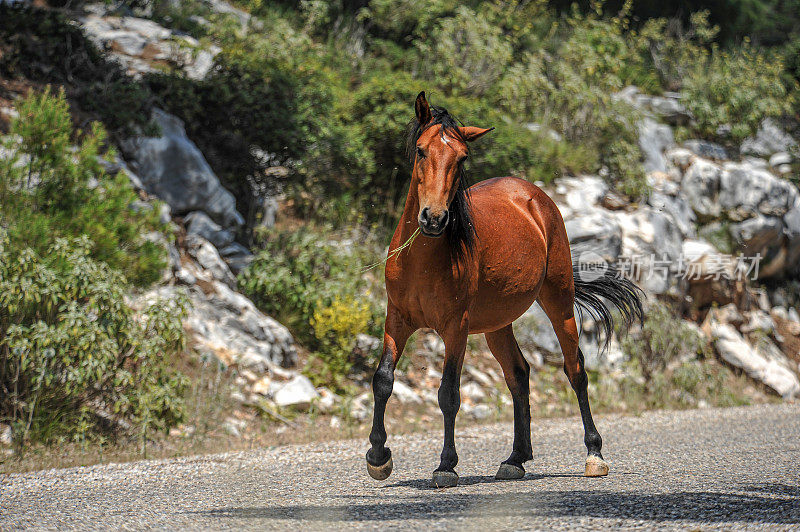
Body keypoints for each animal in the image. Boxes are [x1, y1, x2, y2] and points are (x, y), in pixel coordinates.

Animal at [366, 91, 640, 486]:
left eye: (462, 158)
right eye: (420, 150)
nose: (434, 218)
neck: (423, 259)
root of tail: (533, 196)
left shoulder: (456, 327)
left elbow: (448, 393)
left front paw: (446, 465)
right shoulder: (397, 320)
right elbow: (383, 380)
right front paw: (378, 456)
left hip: (558, 302)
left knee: (575, 370)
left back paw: (594, 454)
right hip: (497, 325)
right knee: (518, 374)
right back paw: (516, 458)